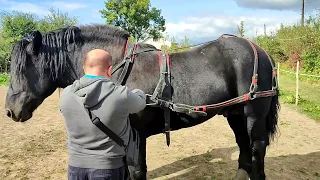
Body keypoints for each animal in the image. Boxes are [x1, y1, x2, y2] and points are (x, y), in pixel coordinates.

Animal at [5, 24, 280, 180]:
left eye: (22, 68)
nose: (9, 111)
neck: (117, 71)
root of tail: (260, 50)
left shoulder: (135, 134)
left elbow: (137, 171)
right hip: (235, 115)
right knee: (244, 150)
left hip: (253, 116)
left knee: (256, 151)